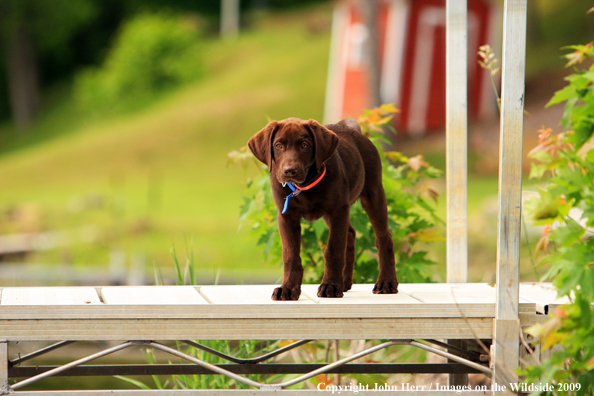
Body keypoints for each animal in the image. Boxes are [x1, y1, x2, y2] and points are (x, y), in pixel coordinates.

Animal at [247, 117, 396, 300]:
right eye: (278, 145)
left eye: (304, 145)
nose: (290, 171)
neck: (304, 185)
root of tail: (351, 129)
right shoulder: (287, 217)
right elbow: (290, 255)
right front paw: (288, 288)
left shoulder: (337, 211)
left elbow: (333, 249)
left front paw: (330, 285)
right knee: (350, 234)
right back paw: (344, 282)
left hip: (373, 194)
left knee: (384, 238)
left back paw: (386, 283)